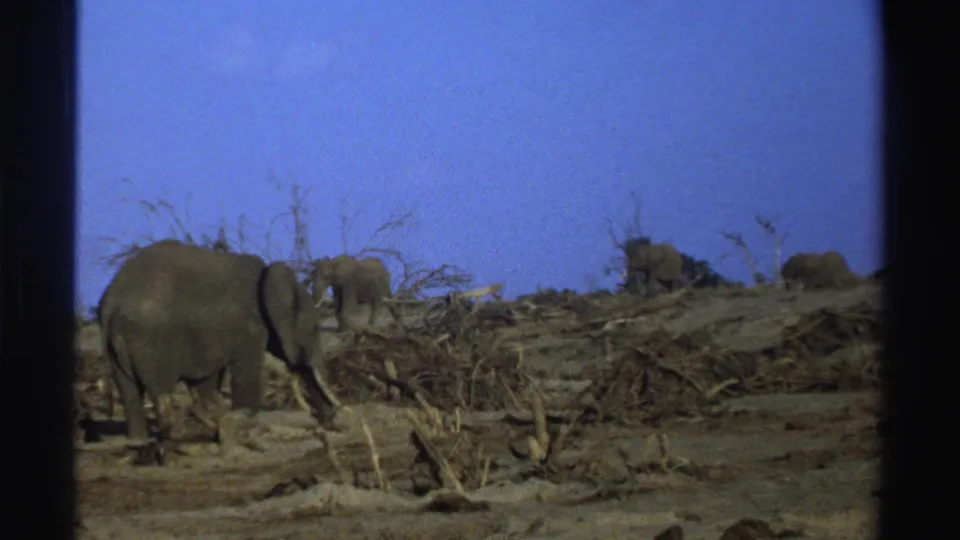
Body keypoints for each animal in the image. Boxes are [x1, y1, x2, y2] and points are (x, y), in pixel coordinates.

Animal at [97, 239, 341, 445]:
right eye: (313, 331)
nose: (330, 421)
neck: (270, 277)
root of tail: (112, 303)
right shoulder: (249, 324)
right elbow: (246, 372)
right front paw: (245, 419)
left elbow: (206, 381)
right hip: (150, 341)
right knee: (161, 390)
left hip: (112, 344)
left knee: (128, 390)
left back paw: (138, 440)